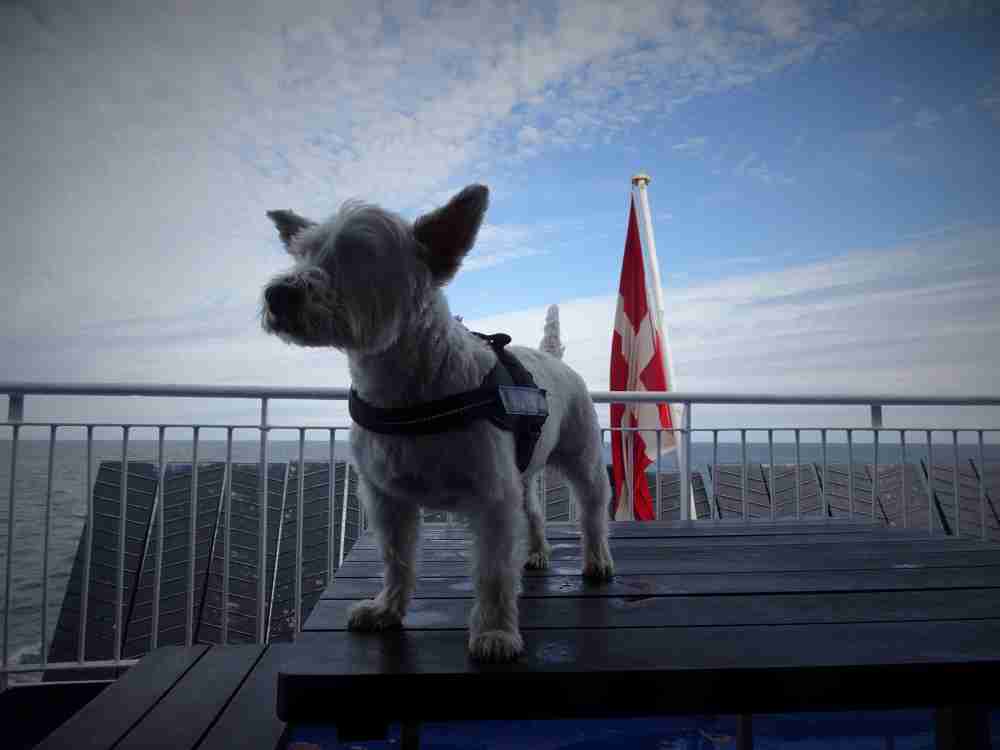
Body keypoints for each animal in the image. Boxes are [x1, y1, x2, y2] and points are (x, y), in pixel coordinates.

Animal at [262, 187, 612, 664]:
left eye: (360, 253)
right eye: (301, 254)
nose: (277, 294)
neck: (406, 386)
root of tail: (553, 359)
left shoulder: (492, 498)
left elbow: (493, 571)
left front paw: (496, 632)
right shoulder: (385, 497)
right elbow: (396, 557)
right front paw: (386, 609)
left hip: (582, 456)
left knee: (592, 508)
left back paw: (597, 560)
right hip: (522, 475)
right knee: (533, 511)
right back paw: (538, 552)